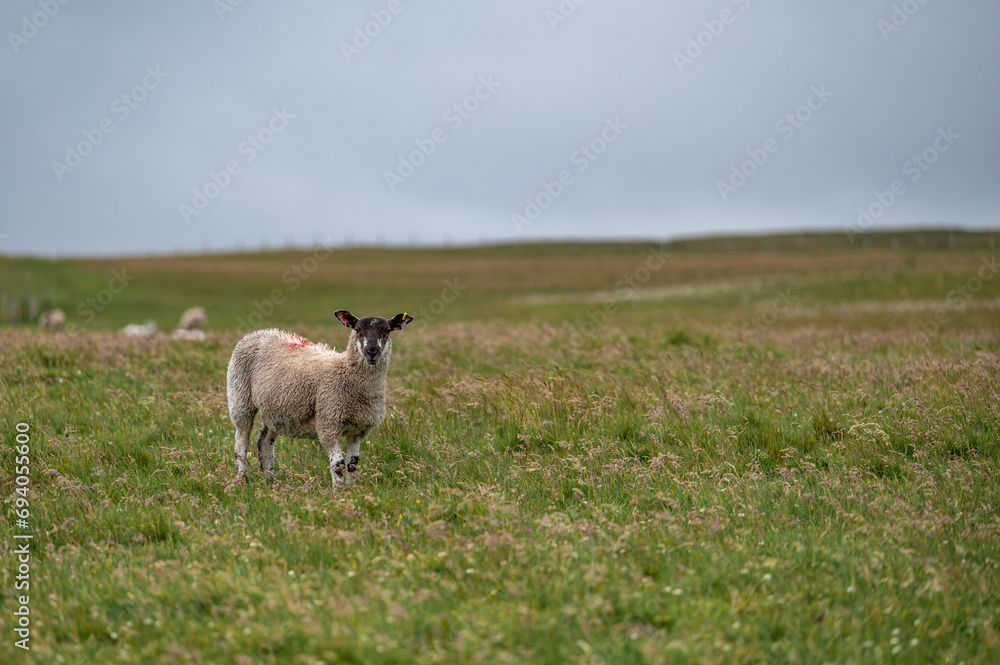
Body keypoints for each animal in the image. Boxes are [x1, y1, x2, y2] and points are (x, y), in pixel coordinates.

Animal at [228, 308, 414, 486]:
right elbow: (338, 464)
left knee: (264, 441)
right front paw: (340, 490)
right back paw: (242, 480)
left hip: (277, 409)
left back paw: (270, 480)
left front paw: (353, 489)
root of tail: (259, 333)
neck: (346, 374)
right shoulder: (329, 424)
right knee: (241, 443)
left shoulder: (359, 430)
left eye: (387, 330)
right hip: (240, 399)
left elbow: (352, 464)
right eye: (357, 330)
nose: (372, 352)